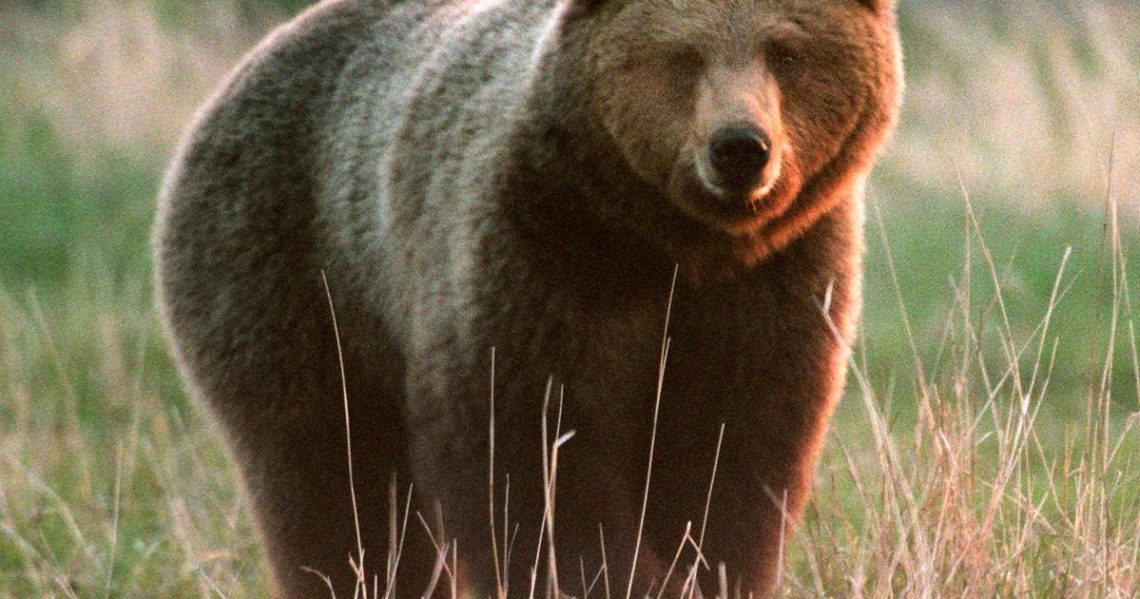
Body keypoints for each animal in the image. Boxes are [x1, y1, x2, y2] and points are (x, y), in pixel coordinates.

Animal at [154, 0, 903, 596]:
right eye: (684, 56)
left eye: (786, 51)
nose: (740, 147)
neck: (673, 242)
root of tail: (253, 61)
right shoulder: (540, 258)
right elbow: (533, 458)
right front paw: (615, 578)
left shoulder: (772, 284)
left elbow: (732, 456)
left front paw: (704, 567)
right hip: (291, 267)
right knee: (327, 472)